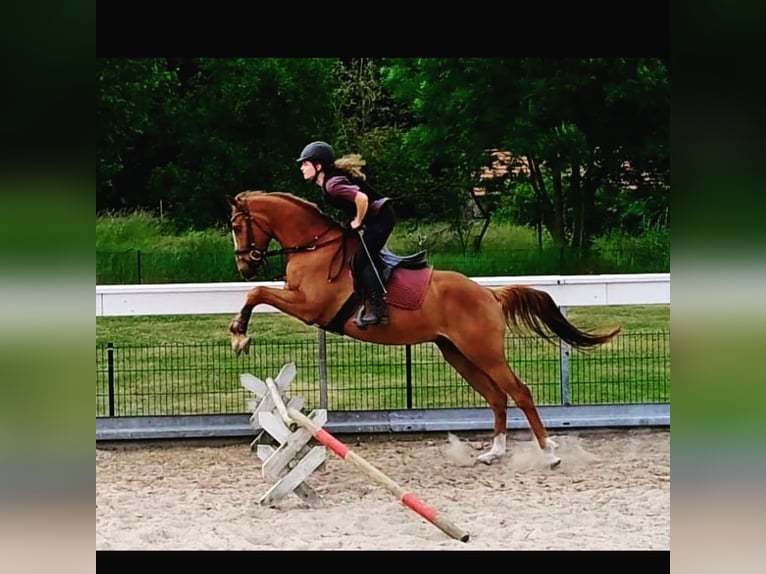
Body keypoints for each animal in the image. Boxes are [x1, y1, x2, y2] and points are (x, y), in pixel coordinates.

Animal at [228, 191, 624, 470]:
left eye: (235, 226)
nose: (244, 265)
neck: (314, 246)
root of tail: (489, 294)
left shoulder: (310, 307)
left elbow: (257, 292)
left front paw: (239, 334)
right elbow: (258, 292)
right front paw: (239, 331)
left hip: (484, 352)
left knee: (519, 392)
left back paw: (548, 452)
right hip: (457, 353)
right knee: (497, 397)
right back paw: (494, 453)